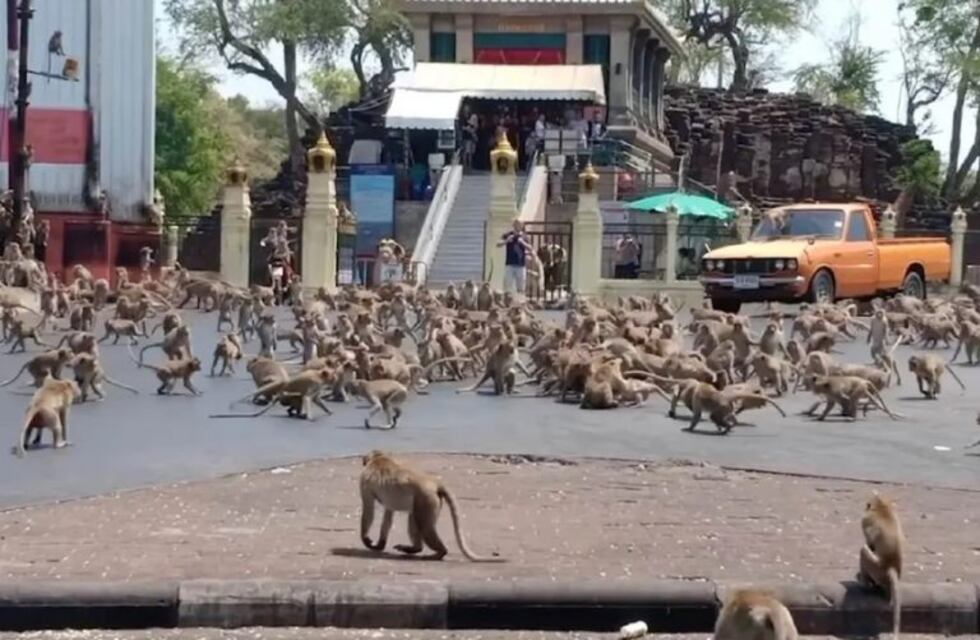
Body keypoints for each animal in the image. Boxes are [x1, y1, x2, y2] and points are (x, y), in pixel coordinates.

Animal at [359, 450, 503, 561]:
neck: (379, 458)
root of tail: (434, 482)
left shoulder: (364, 481)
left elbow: (369, 510)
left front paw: (366, 539)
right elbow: (388, 512)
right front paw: (380, 544)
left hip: (426, 499)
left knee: (424, 526)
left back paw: (440, 552)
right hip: (428, 501)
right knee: (414, 519)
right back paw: (415, 549)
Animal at [858, 493, 904, 640]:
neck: (882, 506)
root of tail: (891, 566)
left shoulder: (866, 520)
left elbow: (869, 542)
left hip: (876, 568)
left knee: (864, 550)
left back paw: (865, 583)